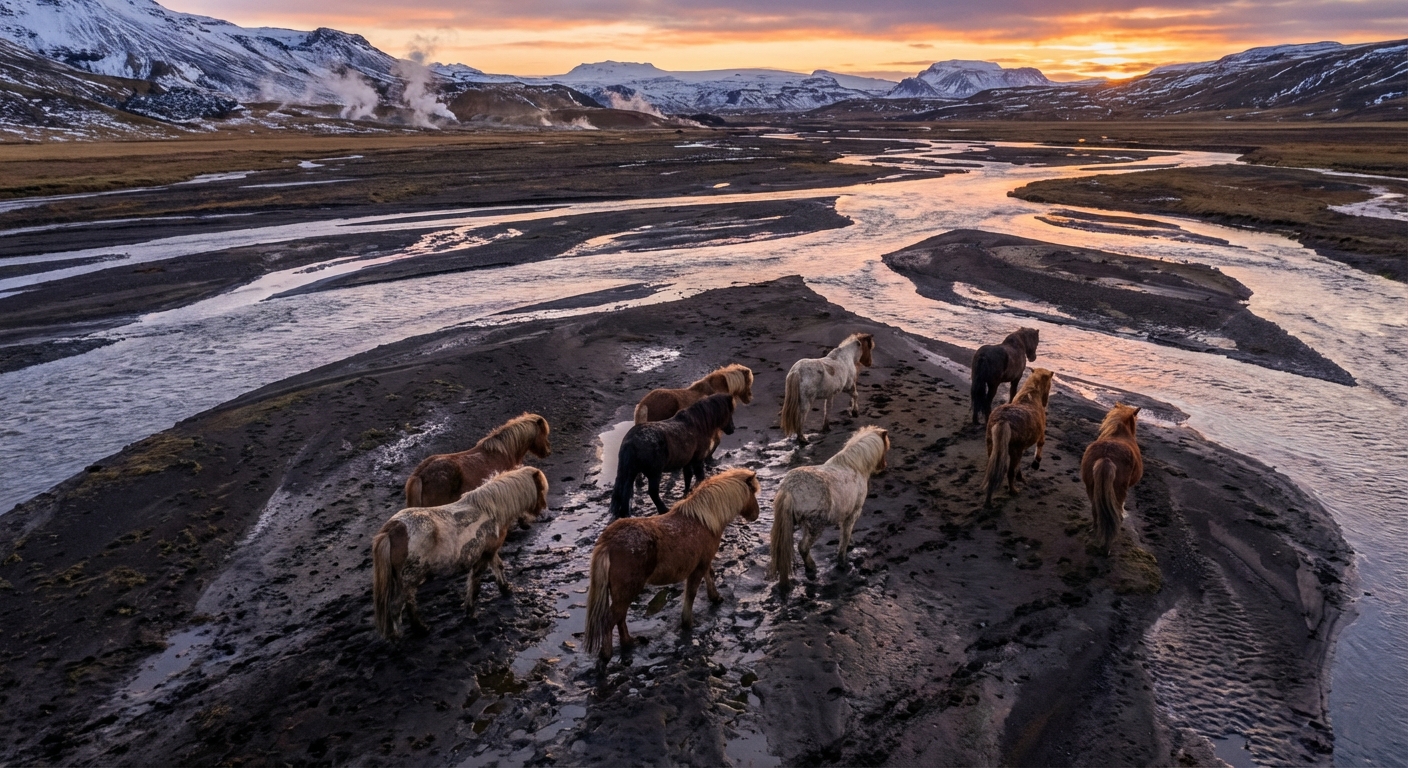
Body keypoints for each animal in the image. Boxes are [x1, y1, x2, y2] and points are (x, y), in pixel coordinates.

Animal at [372, 466, 549, 640]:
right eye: (540, 488)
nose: (542, 509)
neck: (491, 510)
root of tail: (391, 530)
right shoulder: (483, 556)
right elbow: (475, 583)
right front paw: (470, 612)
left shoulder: (489, 551)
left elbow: (498, 566)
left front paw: (505, 588)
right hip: (409, 579)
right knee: (397, 606)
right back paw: (410, 632)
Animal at [586, 468, 760, 661]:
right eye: (752, 492)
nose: (756, 514)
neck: (704, 521)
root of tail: (608, 542)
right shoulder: (698, 568)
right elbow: (691, 593)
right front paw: (687, 623)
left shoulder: (705, 561)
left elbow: (710, 576)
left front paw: (715, 598)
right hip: (626, 591)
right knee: (611, 619)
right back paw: (606, 654)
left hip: (620, 593)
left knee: (620, 617)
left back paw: (629, 642)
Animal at [768, 425, 890, 588]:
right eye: (886, 447)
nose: (883, 466)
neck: (855, 466)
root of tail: (789, 489)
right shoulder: (853, 514)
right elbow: (845, 536)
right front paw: (842, 561)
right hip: (815, 526)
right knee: (803, 547)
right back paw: (811, 568)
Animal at [981, 368, 1055, 507]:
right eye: (1049, 384)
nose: (1046, 402)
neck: (1030, 394)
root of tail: (1002, 420)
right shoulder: (1040, 436)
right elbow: (1040, 447)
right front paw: (1035, 464)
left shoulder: (1020, 450)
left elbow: (1018, 465)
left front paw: (1021, 476)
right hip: (1014, 452)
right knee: (1009, 473)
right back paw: (1013, 491)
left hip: (992, 448)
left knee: (993, 472)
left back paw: (988, 500)